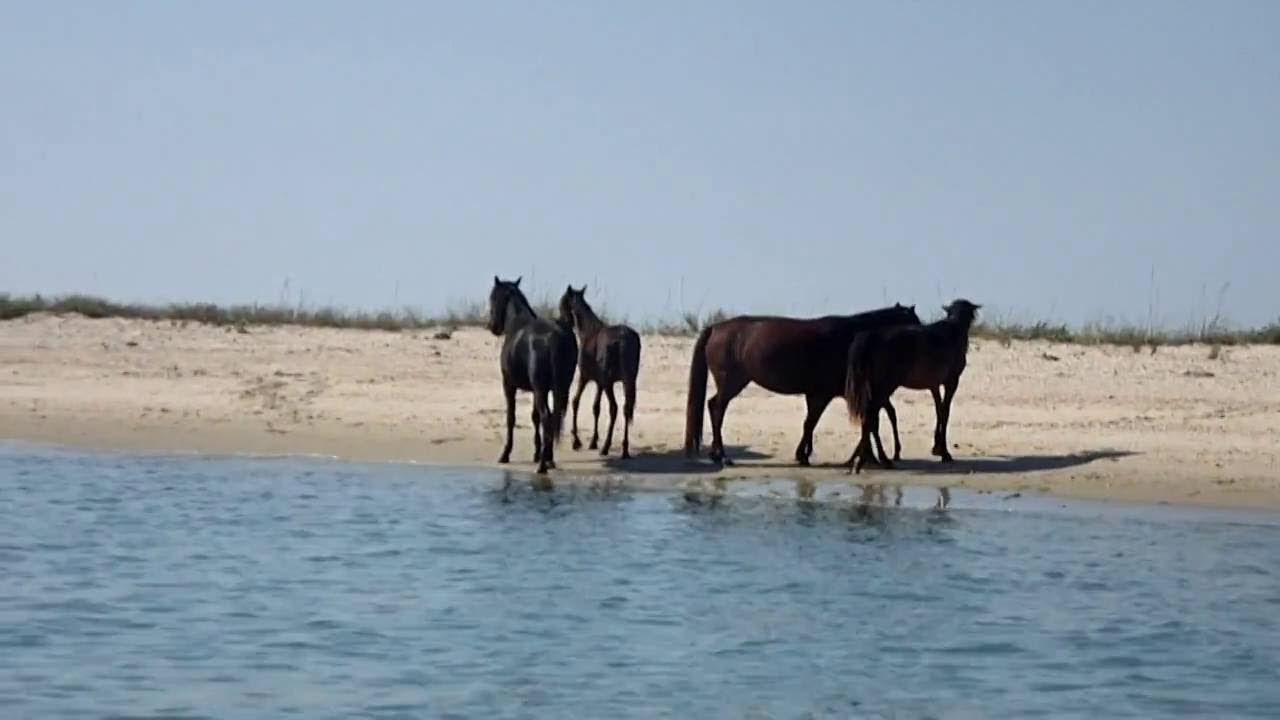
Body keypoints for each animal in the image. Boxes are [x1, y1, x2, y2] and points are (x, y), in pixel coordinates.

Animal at [486, 274, 578, 471]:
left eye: (493, 297)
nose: (493, 326)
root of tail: (554, 336)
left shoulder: (509, 385)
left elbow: (511, 418)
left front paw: (505, 454)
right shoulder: (536, 390)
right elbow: (534, 417)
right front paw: (537, 452)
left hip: (540, 388)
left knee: (547, 418)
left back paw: (543, 465)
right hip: (558, 388)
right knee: (553, 418)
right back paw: (548, 458)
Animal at [558, 283, 640, 456]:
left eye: (562, 303)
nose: (562, 322)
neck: (589, 332)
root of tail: (623, 339)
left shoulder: (585, 377)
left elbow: (576, 402)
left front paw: (576, 441)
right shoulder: (599, 383)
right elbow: (596, 407)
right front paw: (593, 441)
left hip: (609, 383)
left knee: (614, 408)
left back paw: (607, 447)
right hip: (627, 381)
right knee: (625, 409)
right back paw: (624, 448)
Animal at [680, 302, 921, 466]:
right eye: (915, 324)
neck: (851, 338)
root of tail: (715, 328)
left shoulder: (818, 394)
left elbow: (811, 423)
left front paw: (804, 453)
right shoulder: (823, 394)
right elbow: (811, 422)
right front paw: (803, 455)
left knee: (714, 407)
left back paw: (716, 454)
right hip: (731, 383)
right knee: (717, 409)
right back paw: (721, 455)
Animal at [844, 295, 983, 471]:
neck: (953, 331)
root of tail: (869, 337)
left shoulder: (934, 385)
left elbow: (939, 410)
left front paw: (937, 447)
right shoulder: (952, 381)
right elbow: (945, 412)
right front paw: (944, 452)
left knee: (870, 416)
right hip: (884, 386)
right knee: (871, 415)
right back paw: (874, 459)